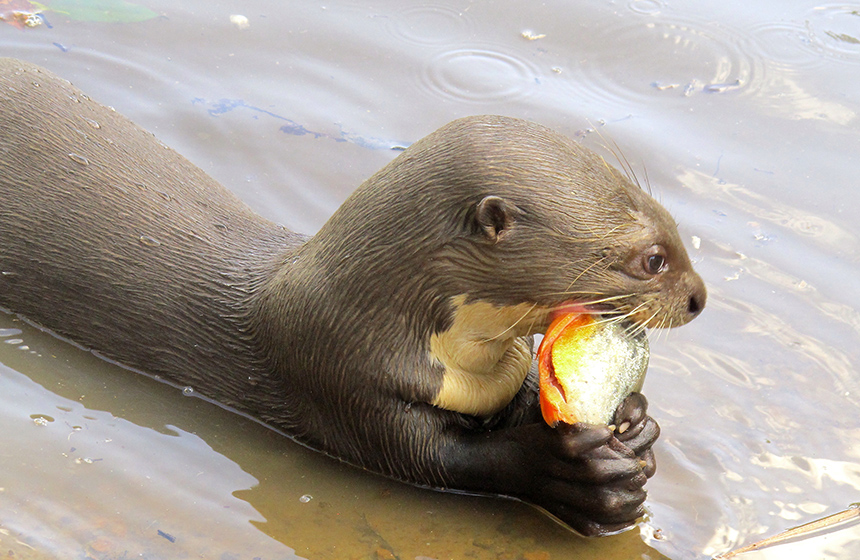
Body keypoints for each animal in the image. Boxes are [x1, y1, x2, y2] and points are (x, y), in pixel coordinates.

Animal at [0, 59, 704, 536]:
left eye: (672, 222)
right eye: (652, 259)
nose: (699, 298)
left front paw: (637, 424)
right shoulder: (337, 376)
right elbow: (436, 459)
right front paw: (568, 475)